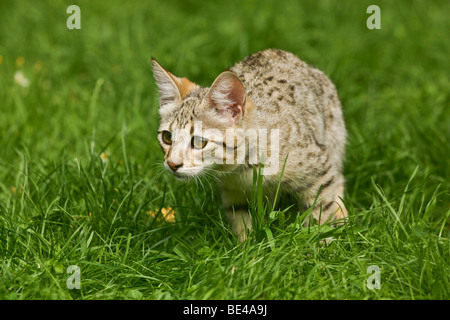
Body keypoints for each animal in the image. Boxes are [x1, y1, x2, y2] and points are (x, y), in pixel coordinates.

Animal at [152, 48, 348, 241]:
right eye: (167, 137)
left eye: (199, 142)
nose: (172, 164)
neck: (242, 167)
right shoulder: (234, 192)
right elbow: (241, 222)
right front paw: (245, 246)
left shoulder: (318, 169)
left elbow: (321, 211)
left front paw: (321, 243)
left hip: (334, 136)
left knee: (338, 177)